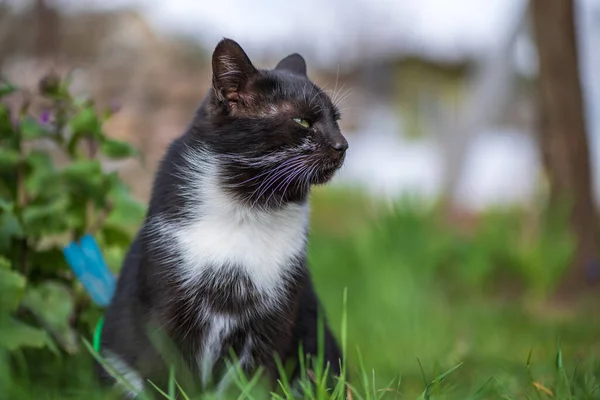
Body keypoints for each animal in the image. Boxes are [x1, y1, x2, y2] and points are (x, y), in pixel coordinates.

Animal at [98, 37, 346, 396]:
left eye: (337, 119)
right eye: (302, 122)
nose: (344, 145)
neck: (248, 210)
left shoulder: (275, 317)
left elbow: (253, 381)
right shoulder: (165, 310)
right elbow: (171, 376)